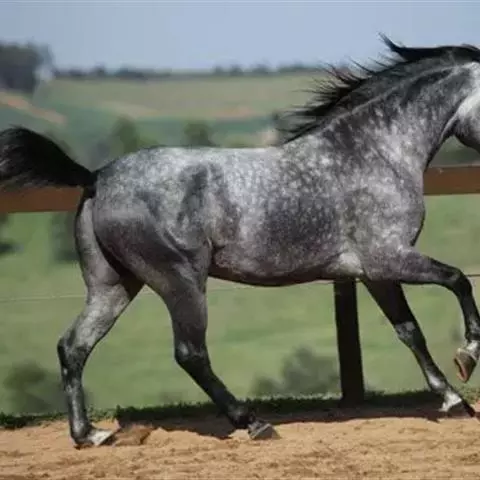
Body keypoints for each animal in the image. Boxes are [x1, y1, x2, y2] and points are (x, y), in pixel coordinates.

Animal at [1, 36, 480, 447]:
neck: (374, 153)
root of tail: (97, 177)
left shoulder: (372, 272)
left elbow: (409, 330)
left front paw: (453, 399)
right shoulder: (389, 257)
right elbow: (458, 279)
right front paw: (468, 357)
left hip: (113, 285)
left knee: (74, 346)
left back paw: (89, 435)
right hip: (181, 281)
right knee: (190, 353)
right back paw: (253, 423)